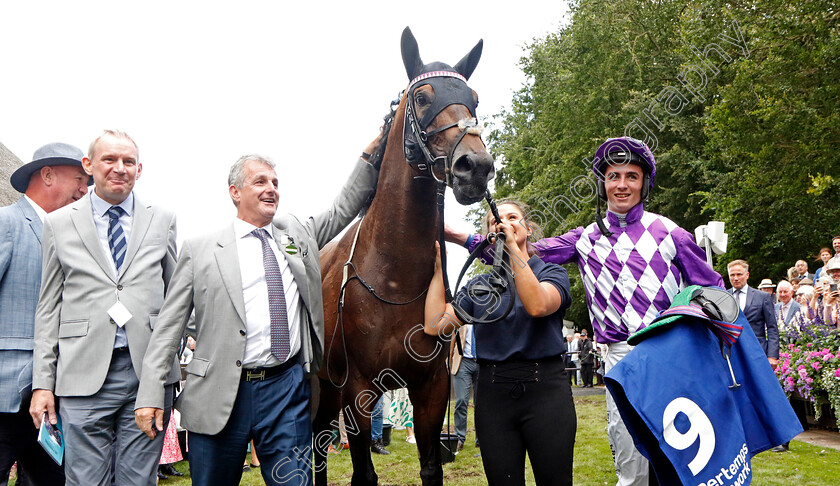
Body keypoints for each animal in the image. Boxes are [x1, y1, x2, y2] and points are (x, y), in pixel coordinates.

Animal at [316, 28, 498, 486]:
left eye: (474, 97)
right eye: (421, 96)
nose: (475, 166)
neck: (394, 278)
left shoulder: (431, 386)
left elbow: (431, 466)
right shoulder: (358, 390)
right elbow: (364, 474)